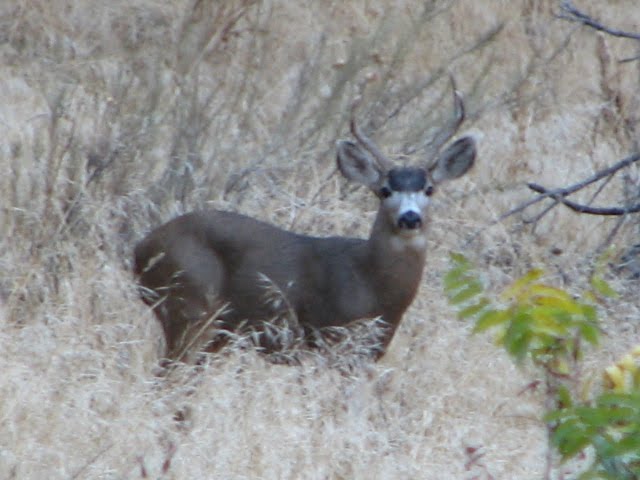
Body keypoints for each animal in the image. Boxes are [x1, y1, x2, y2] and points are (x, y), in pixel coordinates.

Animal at [134, 83, 476, 364]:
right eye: (384, 190)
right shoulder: (326, 339)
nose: (410, 217)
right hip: (189, 307)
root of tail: (140, 249)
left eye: (429, 189)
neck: (371, 285)